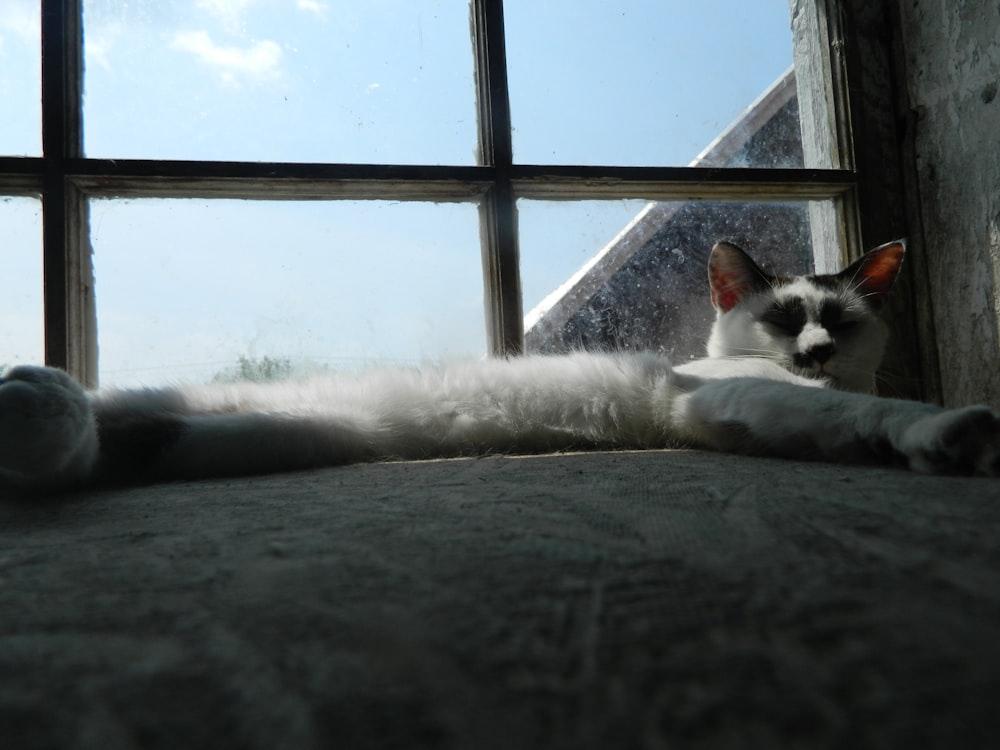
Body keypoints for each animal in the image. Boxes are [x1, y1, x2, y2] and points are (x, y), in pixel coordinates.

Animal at [0, 236, 996, 494]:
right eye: (785, 317)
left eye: (840, 322)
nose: (816, 352)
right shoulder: (739, 399)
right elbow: (878, 415)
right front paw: (950, 432)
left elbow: (848, 421)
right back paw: (32, 389)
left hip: (260, 433)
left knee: (96, 445)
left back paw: (37, 413)